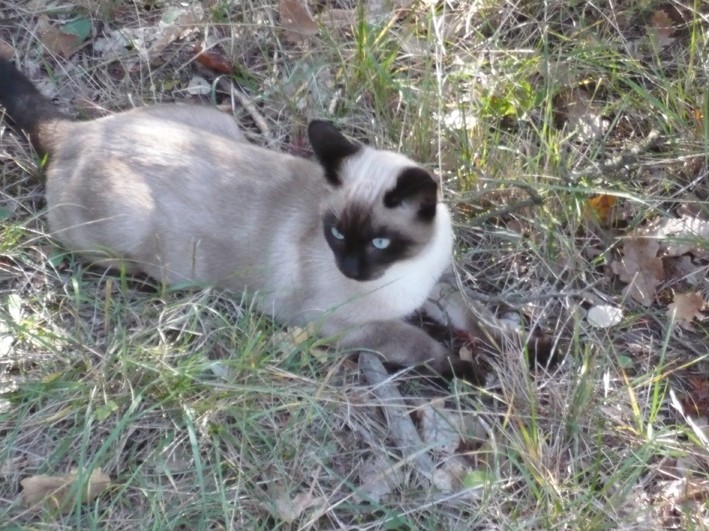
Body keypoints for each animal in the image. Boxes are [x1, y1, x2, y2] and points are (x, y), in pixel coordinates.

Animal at [0, 57, 508, 382]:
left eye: (380, 243)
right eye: (337, 234)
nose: (351, 269)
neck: (406, 275)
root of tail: (79, 132)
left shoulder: (434, 285)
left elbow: (473, 314)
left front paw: (513, 348)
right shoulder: (344, 327)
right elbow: (419, 344)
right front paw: (467, 369)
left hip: (220, 123)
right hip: (129, 237)